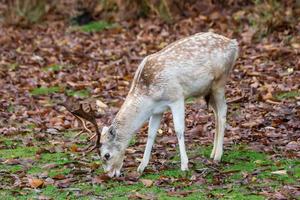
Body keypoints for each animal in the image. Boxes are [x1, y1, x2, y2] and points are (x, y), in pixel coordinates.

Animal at [66, 32, 239, 177]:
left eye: (106, 155)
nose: (109, 175)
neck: (149, 96)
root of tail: (234, 43)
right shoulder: (157, 110)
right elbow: (151, 134)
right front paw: (141, 167)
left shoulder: (177, 97)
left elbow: (179, 130)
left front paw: (184, 165)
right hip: (208, 89)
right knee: (216, 112)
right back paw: (213, 152)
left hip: (220, 81)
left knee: (223, 111)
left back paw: (217, 156)